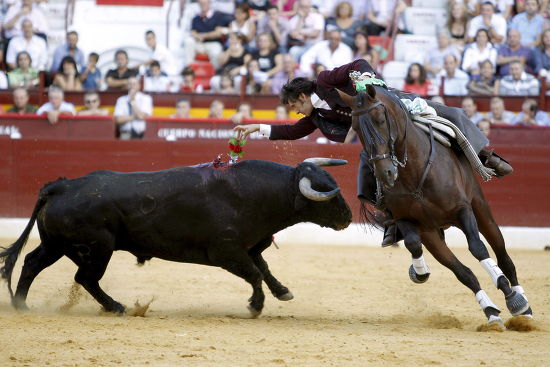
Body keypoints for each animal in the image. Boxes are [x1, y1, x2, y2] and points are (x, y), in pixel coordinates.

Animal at [0, 160, 354, 318]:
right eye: (327, 191)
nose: (349, 217)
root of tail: (61, 185)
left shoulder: (248, 247)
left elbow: (264, 270)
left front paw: (282, 292)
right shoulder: (225, 251)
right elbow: (255, 274)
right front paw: (255, 306)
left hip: (58, 245)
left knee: (33, 263)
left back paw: (22, 304)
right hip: (97, 248)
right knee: (85, 278)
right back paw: (117, 307)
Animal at [340, 85, 536, 328]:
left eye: (380, 119)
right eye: (355, 127)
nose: (385, 173)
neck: (414, 174)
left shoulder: (463, 210)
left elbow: (478, 248)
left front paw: (510, 294)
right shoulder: (407, 221)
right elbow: (416, 245)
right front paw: (420, 272)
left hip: (481, 211)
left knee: (503, 255)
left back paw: (523, 306)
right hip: (434, 235)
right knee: (463, 272)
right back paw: (491, 311)